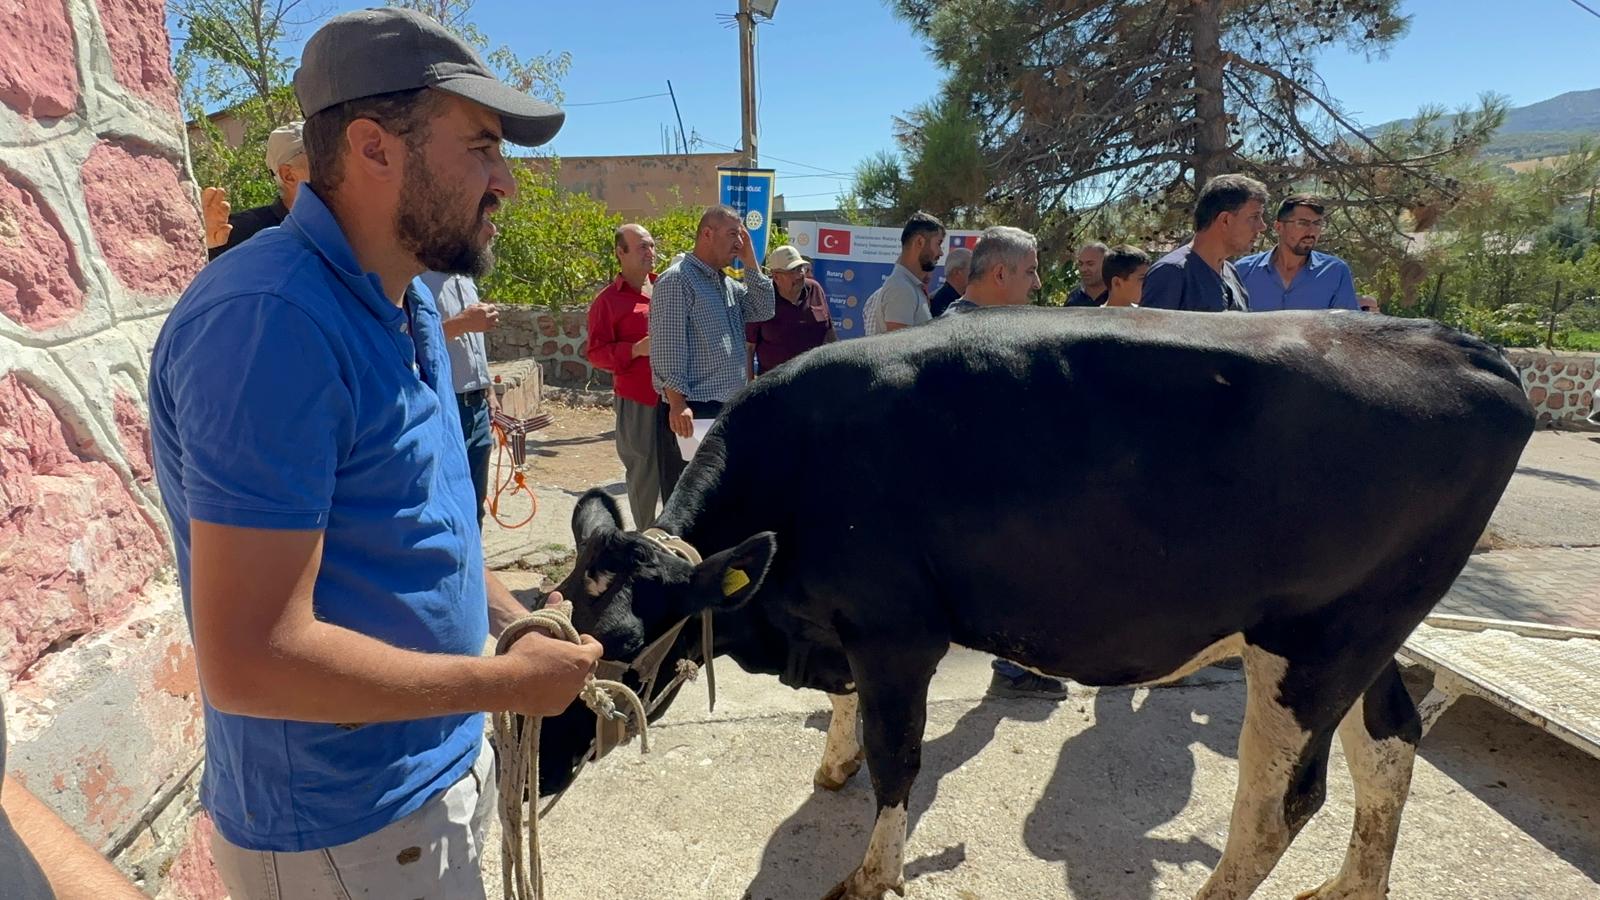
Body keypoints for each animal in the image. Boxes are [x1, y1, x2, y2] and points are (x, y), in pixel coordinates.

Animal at [534, 304, 1523, 890]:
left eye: (619, 650)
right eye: (564, 614)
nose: (536, 773)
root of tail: (1461, 345)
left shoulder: (897, 632)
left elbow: (900, 761)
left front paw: (870, 874)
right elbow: (857, 731)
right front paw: (833, 762)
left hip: (1310, 645)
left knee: (1282, 799)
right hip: (1366, 631)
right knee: (1389, 746)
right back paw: (1349, 885)